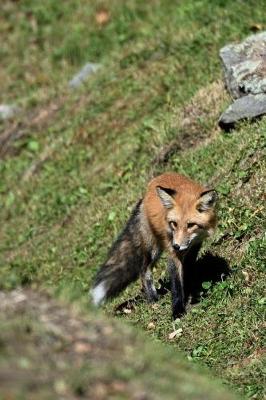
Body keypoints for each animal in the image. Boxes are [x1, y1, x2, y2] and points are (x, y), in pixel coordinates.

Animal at [90, 172, 217, 318]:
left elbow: (189, 269)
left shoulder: (195, 244)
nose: (176, 246)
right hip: (153, 249)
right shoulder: (174, 254)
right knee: (144, 271)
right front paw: (177, 311)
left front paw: (192, 289)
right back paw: (153, 299)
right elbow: (176, 285)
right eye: (174, 224)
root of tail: (147, 192)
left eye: (190, 225)